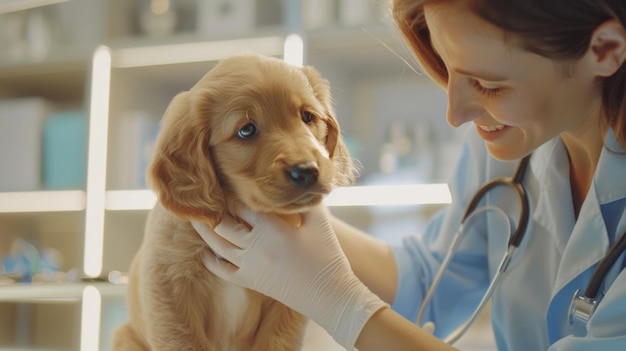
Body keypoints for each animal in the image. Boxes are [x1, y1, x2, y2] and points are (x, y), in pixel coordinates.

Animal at [111, 53, 354, 351]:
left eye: (307, 116)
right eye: (246, 130)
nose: (307, 171)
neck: (239, 212)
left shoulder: (287, 301)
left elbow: (277, 341)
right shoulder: (169, 283)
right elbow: (182, 340)